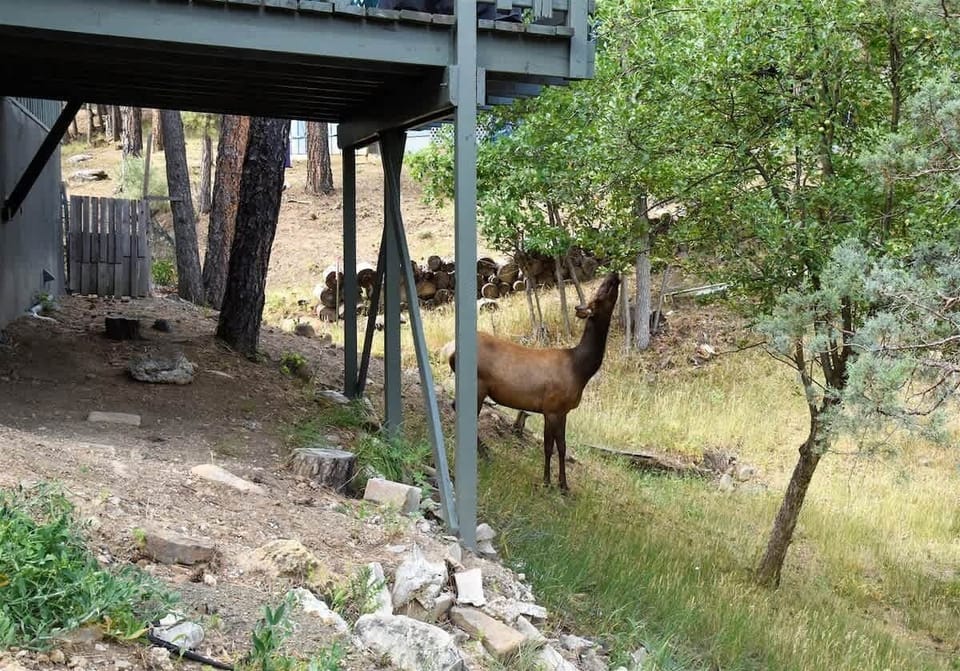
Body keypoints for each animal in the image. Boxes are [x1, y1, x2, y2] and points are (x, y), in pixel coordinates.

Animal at [442, 272, 621, 491]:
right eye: (600, 294)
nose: (614, 274)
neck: (580, 370)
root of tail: (450, 352)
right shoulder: (551, 407)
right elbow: (549, 446)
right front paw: (547, 481)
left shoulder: (562, 410)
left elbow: (562, 447)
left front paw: (563, 485)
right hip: (477, 385)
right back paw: (484, 452)